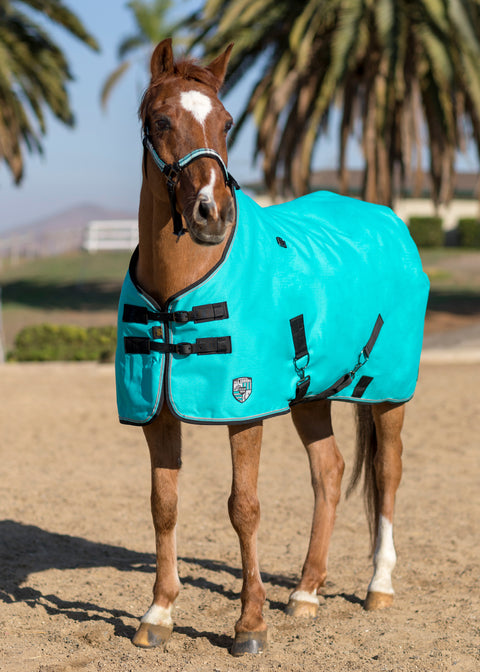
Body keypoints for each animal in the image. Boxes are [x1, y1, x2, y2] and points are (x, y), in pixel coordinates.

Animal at [115, 38, 428, 656]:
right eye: (161, 120)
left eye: (226, 121)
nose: (212, 214)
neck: (176, 288)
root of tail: (391, 221)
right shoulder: (156, 414)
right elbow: (164, 505)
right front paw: (159, 613)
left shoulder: (245, 406)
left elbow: (244, 507)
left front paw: (249, 625)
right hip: (312, 396)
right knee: (329, 473)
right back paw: (306, 592)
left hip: (389, 393)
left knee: (388, 472)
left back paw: (379, 584)